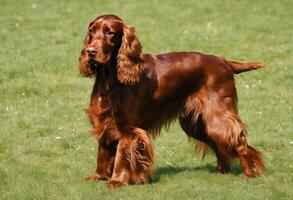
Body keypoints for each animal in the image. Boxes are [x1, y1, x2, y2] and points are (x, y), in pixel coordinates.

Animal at [78, 13, 264, 188]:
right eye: (92, 31)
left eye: (110, 32)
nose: (90, 51)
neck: (110, 79)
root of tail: (224, 61)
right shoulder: (104, 122)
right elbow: (103, 152)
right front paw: (99, 176)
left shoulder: (128, 129)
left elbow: (121, 156)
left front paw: (116, 181)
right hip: (196, 124)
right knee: (220, 144)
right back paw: (221, 170)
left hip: (217, 118)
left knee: (239, 143)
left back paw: (251, 173)